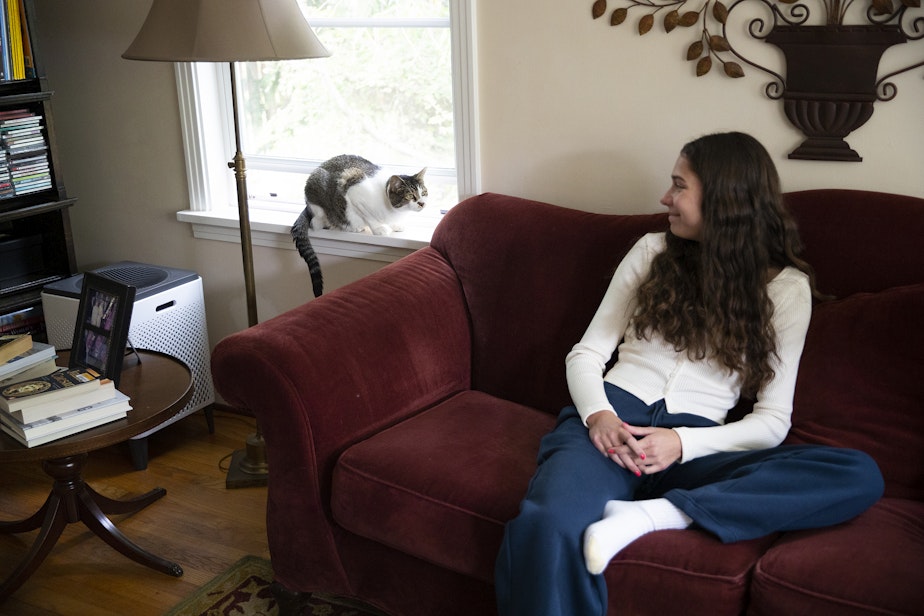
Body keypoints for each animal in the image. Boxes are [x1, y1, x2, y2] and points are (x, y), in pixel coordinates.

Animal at [290, 155, 428, 298]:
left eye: (423, 192)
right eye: (410, 196)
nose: (422, 203)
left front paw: (395, 225)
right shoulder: (354, 189)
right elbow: (369, 216)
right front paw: (379, 229)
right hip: (317, 188)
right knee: (318, 221)